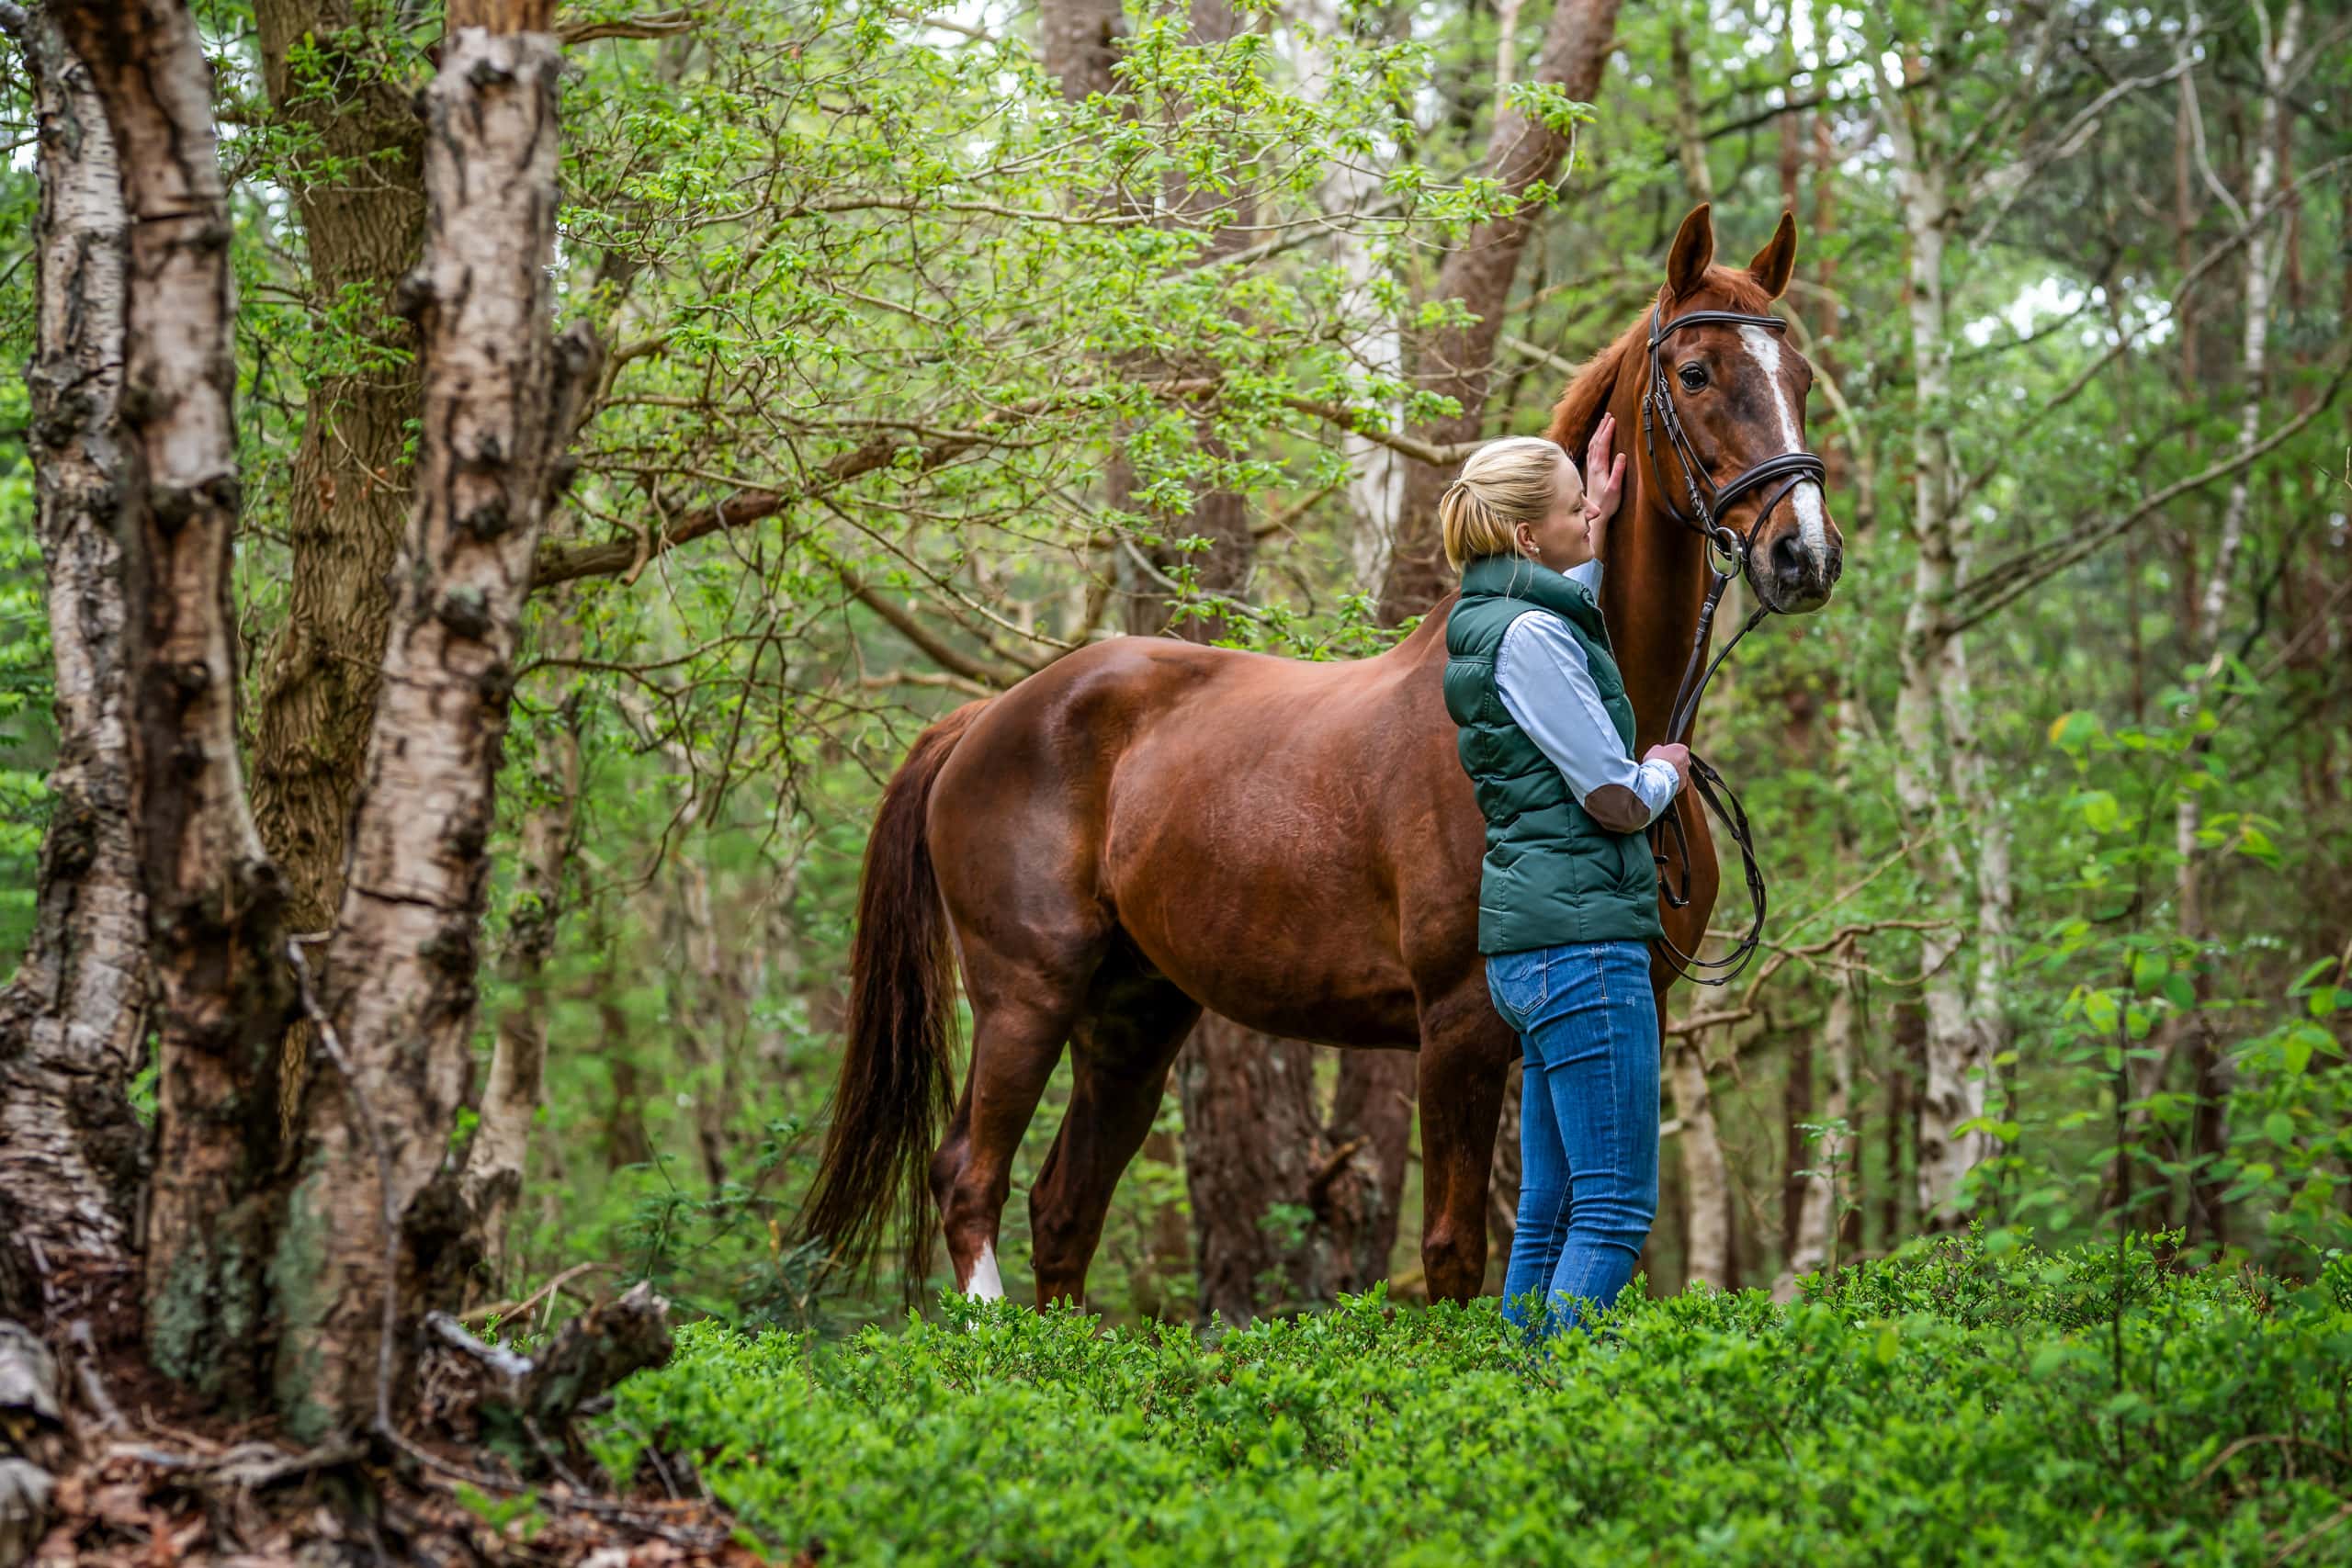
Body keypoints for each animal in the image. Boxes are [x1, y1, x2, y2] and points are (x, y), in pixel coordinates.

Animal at [799, 208, 1844, 1316]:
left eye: (1800, 374)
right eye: (1694, 371)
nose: (1804, 555)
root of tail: (989, 716)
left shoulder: (1624, 1007)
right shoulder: (1461, 1023)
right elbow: (1453, 1252)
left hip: (1132, 1015)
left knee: (1064, 1206)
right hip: (1024, 994)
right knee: (970, 1178)